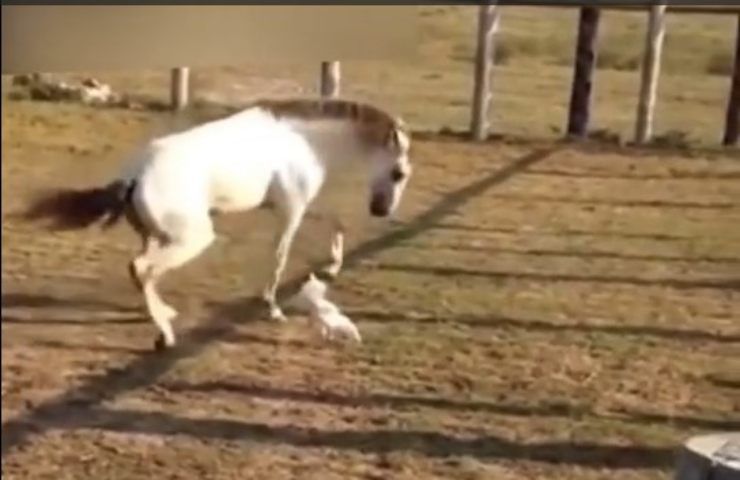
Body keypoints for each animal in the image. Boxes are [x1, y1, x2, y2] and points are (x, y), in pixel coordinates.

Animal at [23, 98, 414, 348]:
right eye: (399, 172)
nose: (382, 210)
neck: (303, 140)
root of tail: (135, 174)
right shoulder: (290, 208)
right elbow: (279, 257)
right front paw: (273, 309)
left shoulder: (294, 205)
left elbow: (336, 222)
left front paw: (331, 266)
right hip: (192, 239)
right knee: (141, 269)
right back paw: (164, 335)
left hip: (156, 235)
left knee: (146, 272)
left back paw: (164, 314)